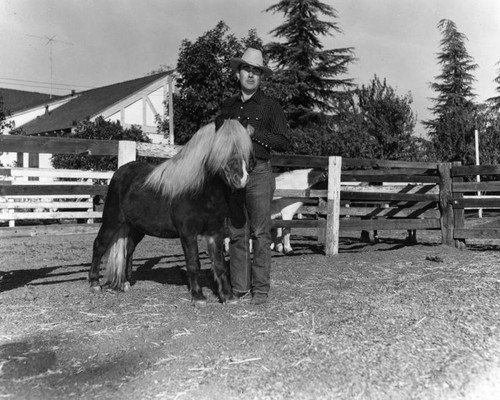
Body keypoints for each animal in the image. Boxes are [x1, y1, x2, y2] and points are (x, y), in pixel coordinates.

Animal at [88, 120, 252, 304]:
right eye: (221, 149)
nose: (242, 179)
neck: (199, 191)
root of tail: (119, 172)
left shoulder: (215, 232)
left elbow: (220, 264)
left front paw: (228, 296)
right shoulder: (187, 233)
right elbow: (193, 263)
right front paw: (198, 296)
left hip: (137, 228)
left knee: (128, 249)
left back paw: (124, 283)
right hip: (112, 221)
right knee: (99, 245)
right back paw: (95, 284)